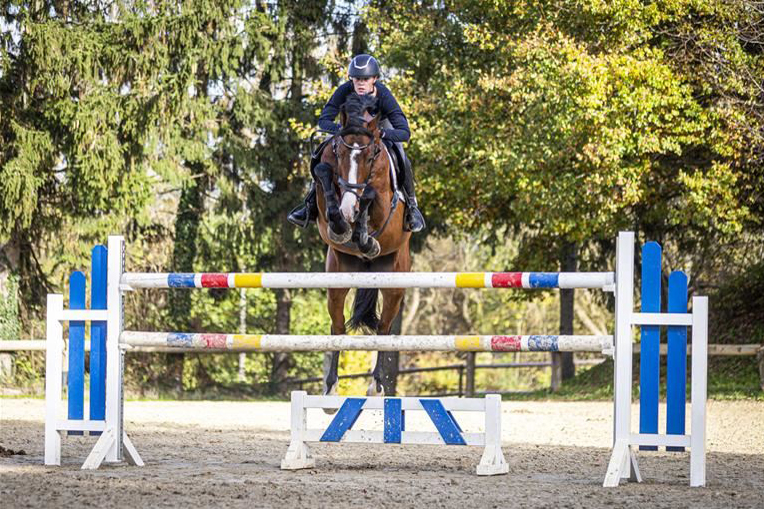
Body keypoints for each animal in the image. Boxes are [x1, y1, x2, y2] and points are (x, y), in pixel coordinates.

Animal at [312, 93, 412, 398]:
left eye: (371, 156)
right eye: (340, 154)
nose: (348, 209)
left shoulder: (386, 206)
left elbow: (369, 193)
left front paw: (366, 239)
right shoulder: (325, 194)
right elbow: (323, 174)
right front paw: (343, 227)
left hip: (395, 286)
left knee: (384, 330)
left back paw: (376, 385)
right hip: (337, 281)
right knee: (337, 327)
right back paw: (331, 387)